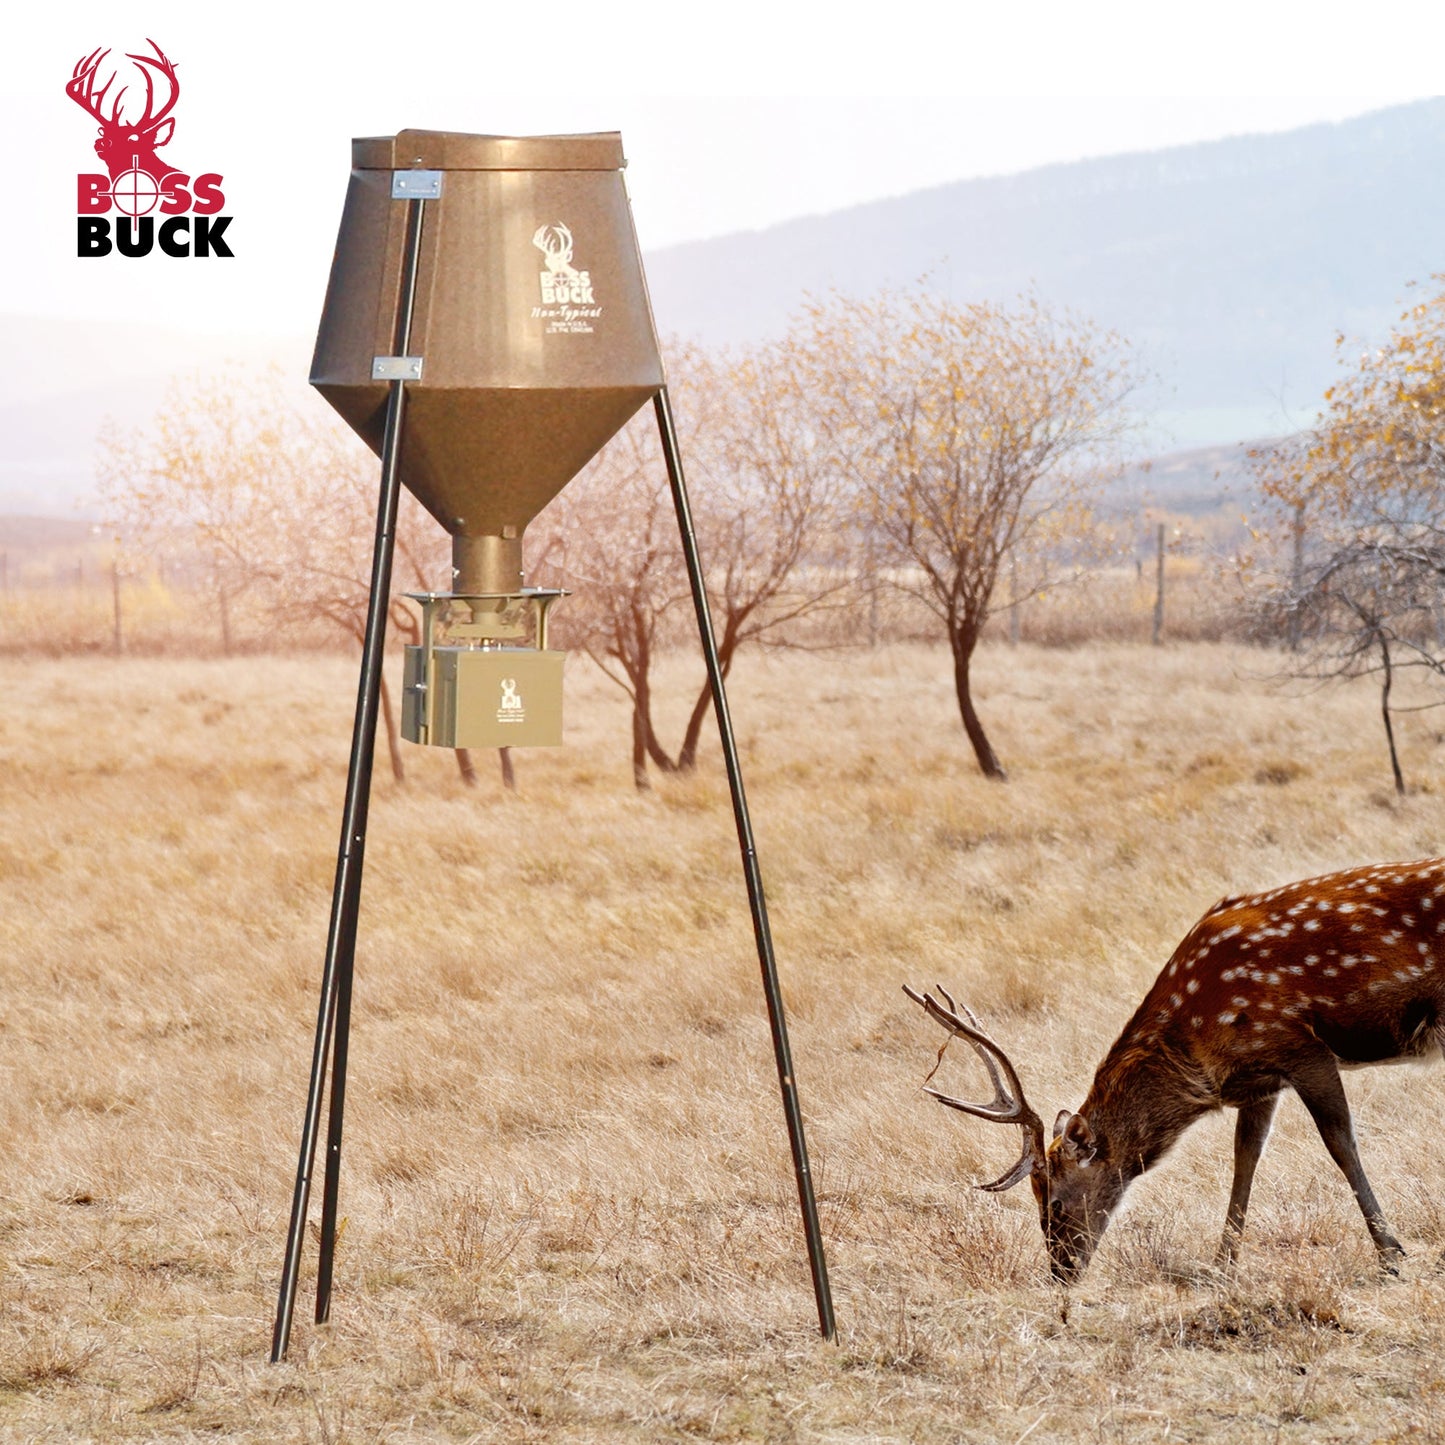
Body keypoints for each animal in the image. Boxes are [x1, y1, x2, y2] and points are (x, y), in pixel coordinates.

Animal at [906, 858, 1445, 1283]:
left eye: (1054, 1202)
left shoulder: (1300, 1045)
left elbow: (1340, 1142)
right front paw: (1222, 1263)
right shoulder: (1260, 1079)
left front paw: (1391, 1254)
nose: (1060, 1272)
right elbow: (1246, 1156)